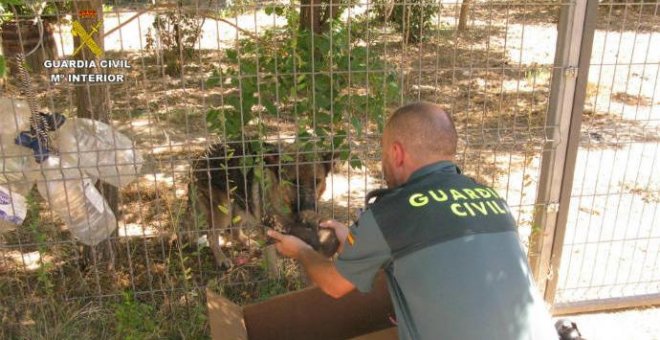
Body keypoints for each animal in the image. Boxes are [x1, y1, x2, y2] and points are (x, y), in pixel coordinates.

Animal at [188, 141, 338, 268]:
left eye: (316, 181)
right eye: (293, 181)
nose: (309, 208)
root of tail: (200, 157)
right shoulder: (268, 230)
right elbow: (272, 260)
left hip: (241, 205)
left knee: (234, 231)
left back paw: (248, 243)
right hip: (224, 211)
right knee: (211, 236)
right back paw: (221, 259)